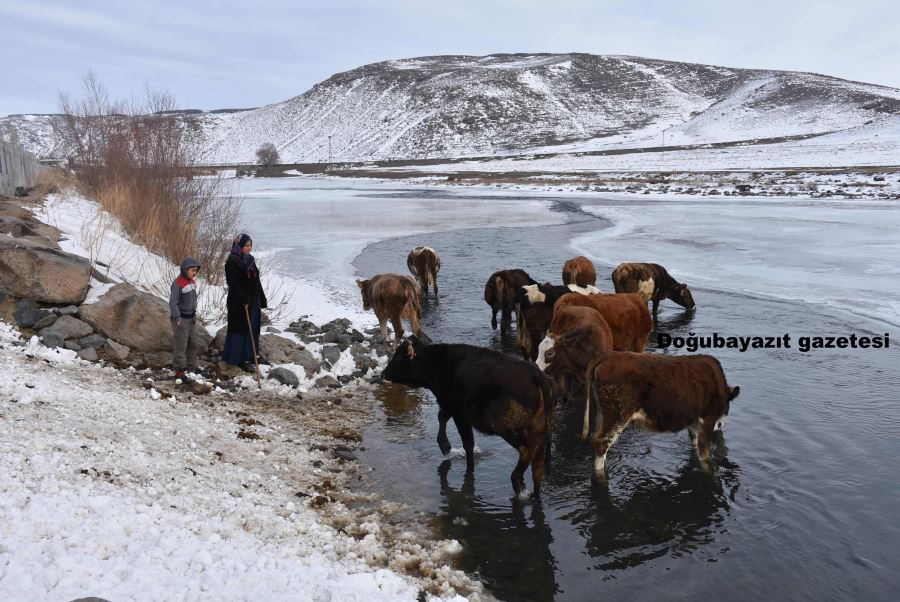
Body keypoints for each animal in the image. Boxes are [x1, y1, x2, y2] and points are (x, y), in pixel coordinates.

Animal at [382, 336, 552, 494]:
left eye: (399, 357)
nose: (384, 373)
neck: (439, 363)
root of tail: (536, 376)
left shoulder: (460, 416)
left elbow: (467, 443)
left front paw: (453, 453)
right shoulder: (450, 406)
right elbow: (442, 417)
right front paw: (445, 446)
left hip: (507, 428)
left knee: (526, 450)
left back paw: (517, 482)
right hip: (538, 431)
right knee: (537, 469)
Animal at [584, 352, 740, 474]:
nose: (720, 426)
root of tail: (608, 355)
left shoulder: (693, 423)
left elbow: (695, 446)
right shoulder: (707, 418)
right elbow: (705, 455)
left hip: (602, 414)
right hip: (617, 415)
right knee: (600, 443)